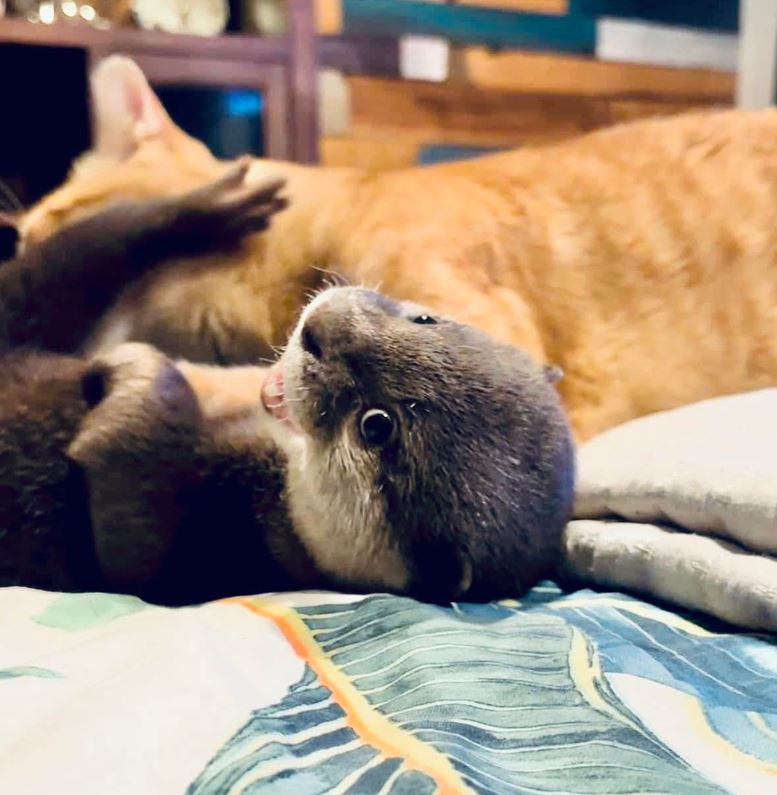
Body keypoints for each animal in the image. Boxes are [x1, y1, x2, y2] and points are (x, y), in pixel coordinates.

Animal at [1, 169, 575, 605]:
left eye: (377, 426)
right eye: (426, 318)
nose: (322, 328)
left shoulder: (214, 547)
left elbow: (130, 542)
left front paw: (145, 377)